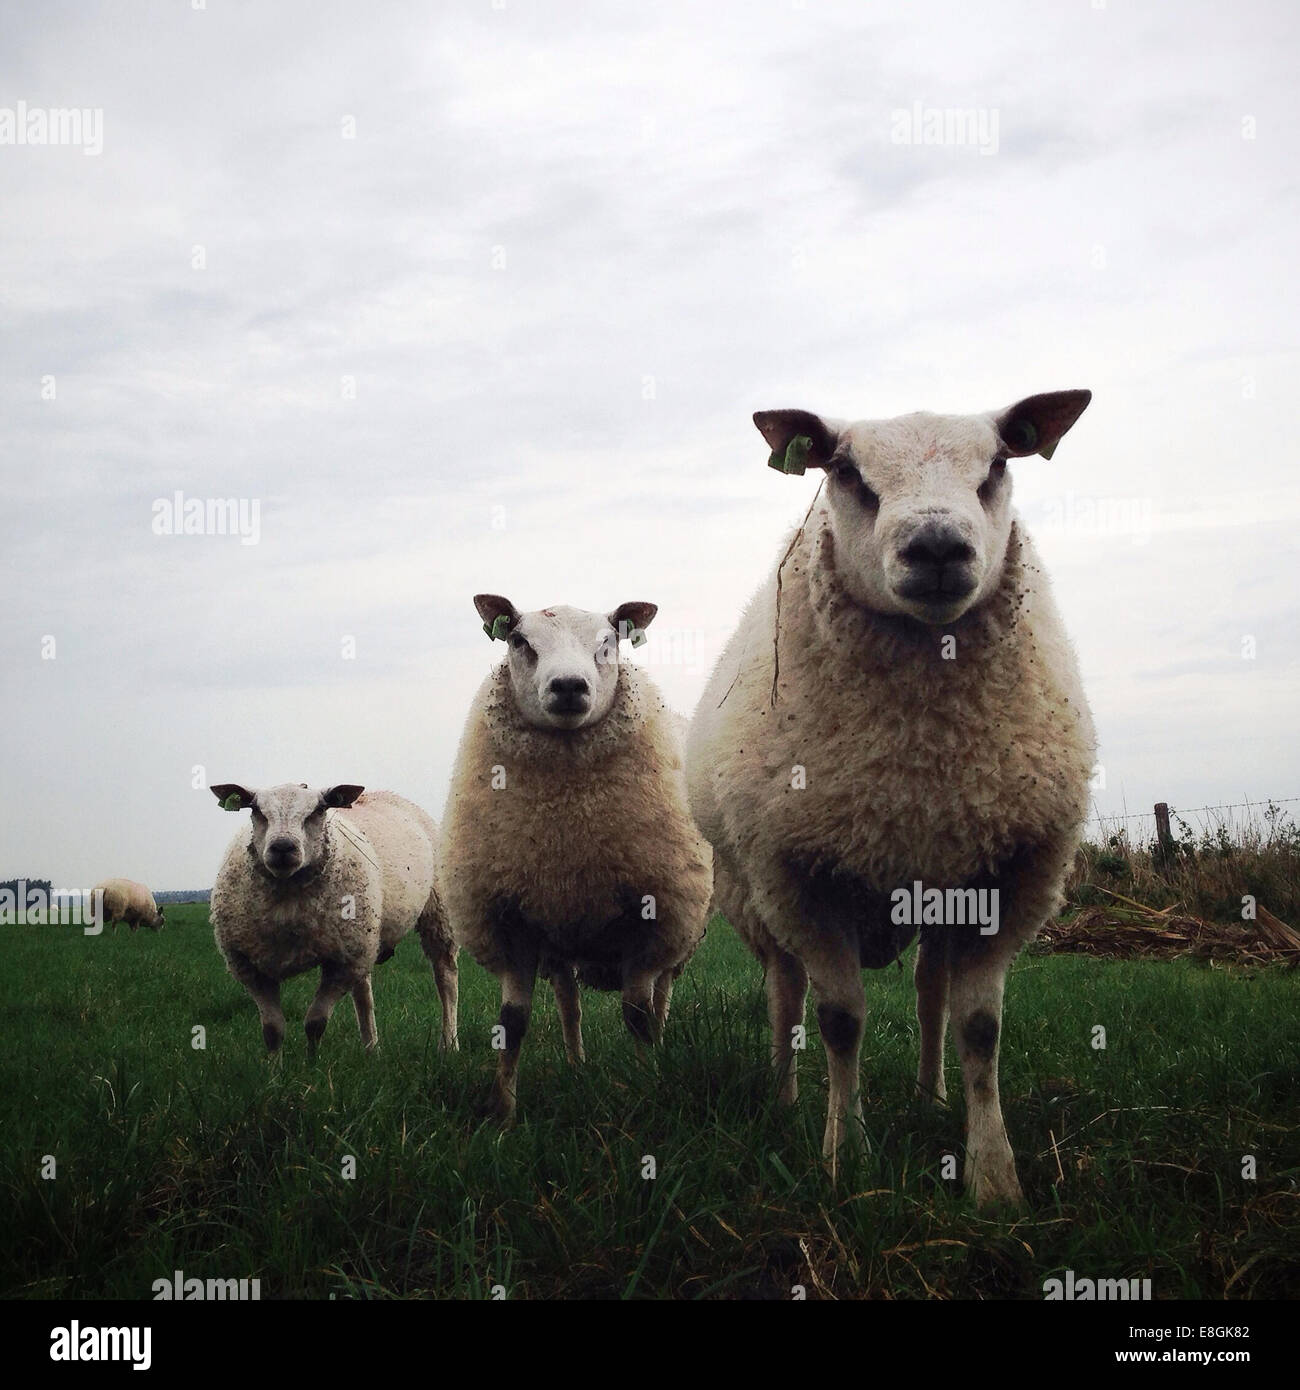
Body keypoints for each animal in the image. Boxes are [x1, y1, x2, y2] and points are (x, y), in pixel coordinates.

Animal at [208, 783, 458, 1050]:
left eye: (319, 809)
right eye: (256, 809)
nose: (283, 847)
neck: (288, 907)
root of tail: (389, 795)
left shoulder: (340, 964)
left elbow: (315, 1023)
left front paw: (312, 1060)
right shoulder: (248, 966)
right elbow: (273, 1030)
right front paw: (275, 1063)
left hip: (436, 915)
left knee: (446, 978)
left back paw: (449, 1043)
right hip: (363, 938)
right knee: (364, 994)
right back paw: (371, 1048)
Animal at [442, 597, 717, 1117]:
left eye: (609, 641)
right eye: (519, 640)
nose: (569, 685)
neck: (566, 822)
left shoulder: (651, 924)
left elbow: (637, 1015)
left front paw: (649, 1087)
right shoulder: (511, 924)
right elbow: (512, 1023)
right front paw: (503, 1111)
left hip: (679, 931)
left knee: (661, 998)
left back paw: (658, 1045)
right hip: (559, 930)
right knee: (569, 1001)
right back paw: (576, 1064)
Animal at [686, 391, 1101, 1206]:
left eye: (998, 462)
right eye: (845, 470)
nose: (937, 546)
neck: (919, 765)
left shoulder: (1013, 873)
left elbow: (981, 1026)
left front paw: (992, 1176)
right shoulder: (801, 876)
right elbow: (840, 1019)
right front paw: (845, 1156)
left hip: (942, 881)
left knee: (929, 989)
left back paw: (930, 1096)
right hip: (752, 892)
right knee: (783, 991)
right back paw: (783, 1098)